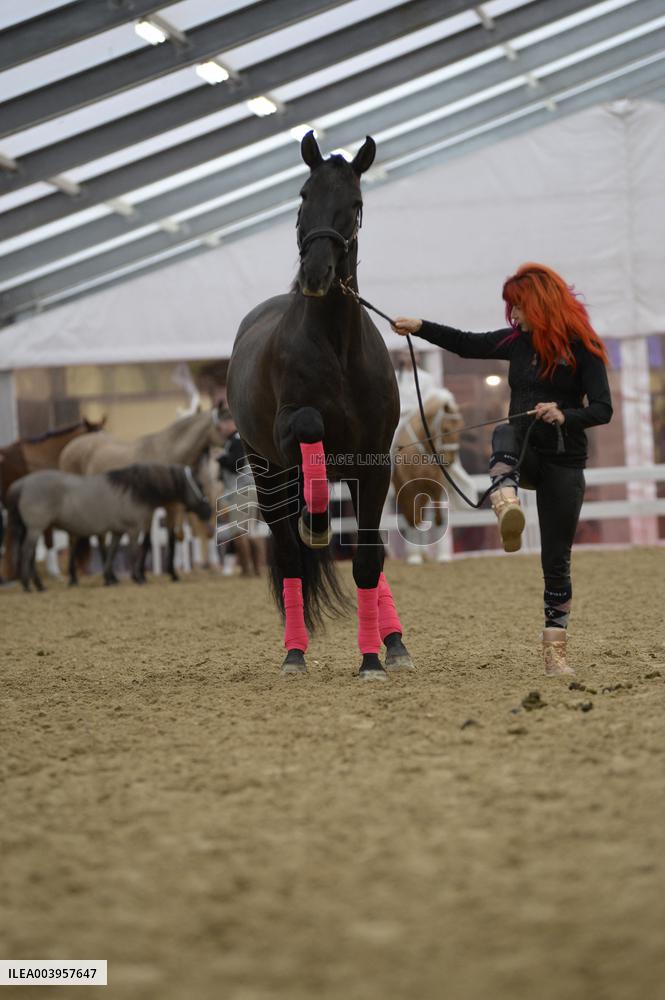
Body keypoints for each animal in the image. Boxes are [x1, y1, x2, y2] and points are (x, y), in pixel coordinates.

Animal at [7, 464, 211, 592]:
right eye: (200, 485)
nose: (208, 511)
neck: (136, 489)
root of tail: (21, 484)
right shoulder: (133, 529)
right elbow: (133, 551)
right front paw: (138, 577)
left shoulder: (118, 531)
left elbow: (112, 552)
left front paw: (109, 578)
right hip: (35, 528)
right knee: (27, 552)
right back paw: (30, 586)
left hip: (30, 529)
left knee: (30, 554)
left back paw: (37, 585)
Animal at [59, 408, 225, 580]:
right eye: (223, 423)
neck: (166, 454)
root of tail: (69, 448)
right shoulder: (149, 509)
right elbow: (147, 540)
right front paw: (140, 574)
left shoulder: (172, 506)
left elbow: (171, 537)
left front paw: (172, 573)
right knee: (75, 536)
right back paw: (75, 577)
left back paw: (110, 575)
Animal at [226, 132, 413, 681]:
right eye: (304, 195)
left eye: (355, 204)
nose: (316, 274)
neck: (337, 346)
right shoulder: (292, 431)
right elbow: (310, 425)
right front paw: (315, 522)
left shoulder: (373, 465)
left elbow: (369, 561)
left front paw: (374, 657)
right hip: (267, 471)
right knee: (290, 556)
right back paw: (294, 652)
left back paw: (394, 642)